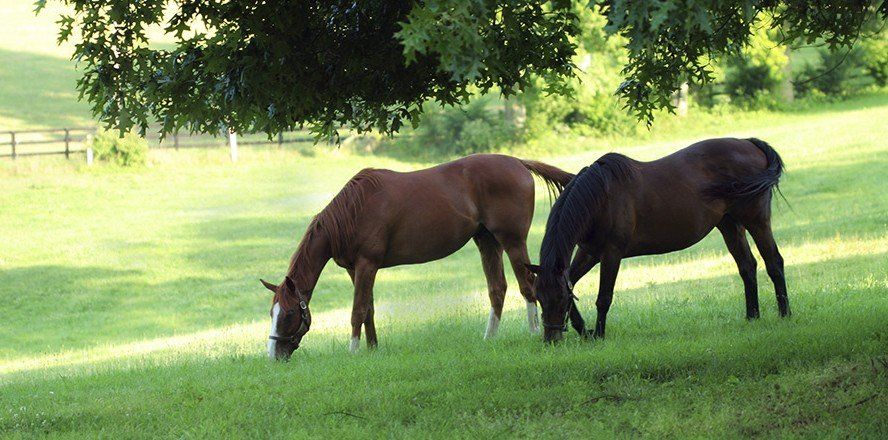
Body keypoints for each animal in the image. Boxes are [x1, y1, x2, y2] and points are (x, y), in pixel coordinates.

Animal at [262, 154, 574, 359]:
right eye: (271, 312)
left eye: (289, 313)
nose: (274, 354)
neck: (352, 211)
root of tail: (518, 163)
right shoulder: (356, 269)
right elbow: (369, 309)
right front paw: (373, 349)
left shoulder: (367, 264)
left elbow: (357, 311)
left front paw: (354, 352)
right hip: (487, 242)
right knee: (497, 289)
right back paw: (489, 337)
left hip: (512, 240)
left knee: (527, 285)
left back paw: (533, 332)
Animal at [526, 138, 789, 342]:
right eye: (539, 297)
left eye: (559, 299)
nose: (551, 339)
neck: (600, 197)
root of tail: (749, 143)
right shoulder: (589, 253)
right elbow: (572, 281)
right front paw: (585, 331)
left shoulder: (611, 253)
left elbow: (604, 298)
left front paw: (599, 334)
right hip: (730, 225)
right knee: (747, 267)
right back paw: (752, 317)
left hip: (757, 220)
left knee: (774, 262)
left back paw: (785, 315)